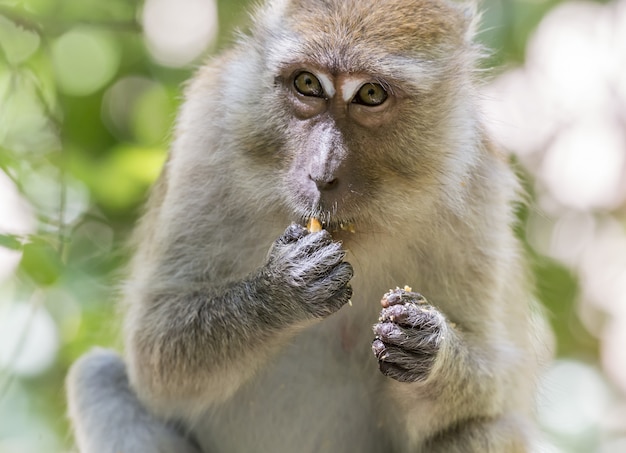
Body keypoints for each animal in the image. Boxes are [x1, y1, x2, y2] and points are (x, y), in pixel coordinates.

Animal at [66, 0, 548, 450]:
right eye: (308, 83)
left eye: (370, 93)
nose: (321, 172)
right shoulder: (209, 129)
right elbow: (155, 354)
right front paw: (285, 289)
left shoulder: (478, 184)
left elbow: (494, 381)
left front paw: (427, 345)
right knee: (97, 377)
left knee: (488, 428)